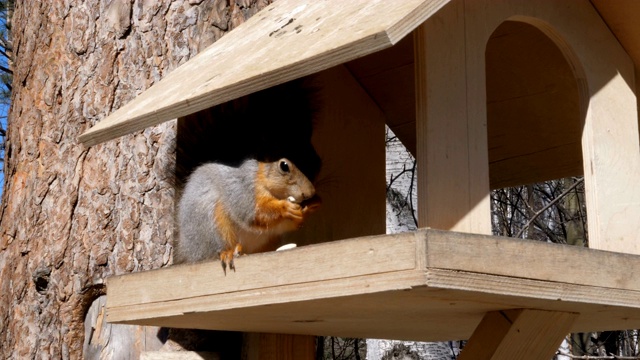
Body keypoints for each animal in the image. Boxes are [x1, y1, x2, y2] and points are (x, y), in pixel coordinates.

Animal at [171, 78, 320, 270]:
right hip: (212, 224)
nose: (309, 193)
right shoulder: (241, 187)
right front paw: (285, 207)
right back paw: (227, 253)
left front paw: (310, 207)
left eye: (318, 161)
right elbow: (253, 212)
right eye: (284, 166)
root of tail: (187, 251)